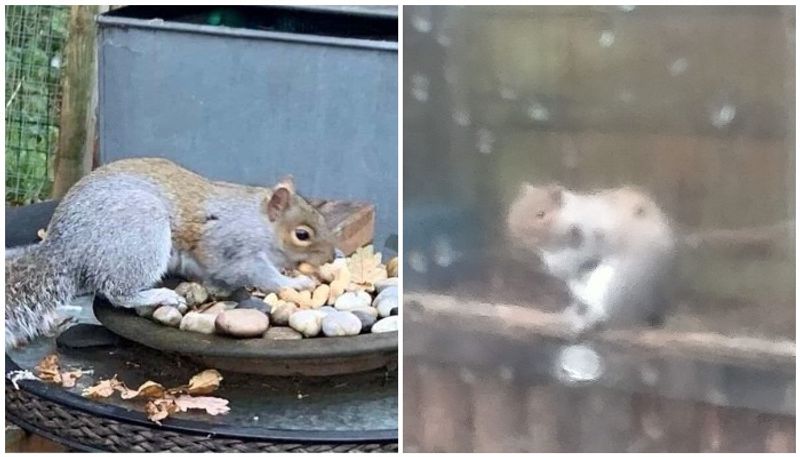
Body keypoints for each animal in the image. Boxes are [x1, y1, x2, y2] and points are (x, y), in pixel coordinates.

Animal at [4, 157, 334, 346]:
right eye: (302, 235)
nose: (331, 256)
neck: (260, 222)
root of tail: (64, 248)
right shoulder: (232, 246)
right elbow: (259, 273)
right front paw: (296, 282)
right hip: (141, 234)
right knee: (117, 291)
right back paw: (160, 295)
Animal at [506, 181, 676, 332]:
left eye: (541, 214)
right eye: (516, 207)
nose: (517, 233)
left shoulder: (594, 234)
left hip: (616, 285)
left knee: (608, 313)